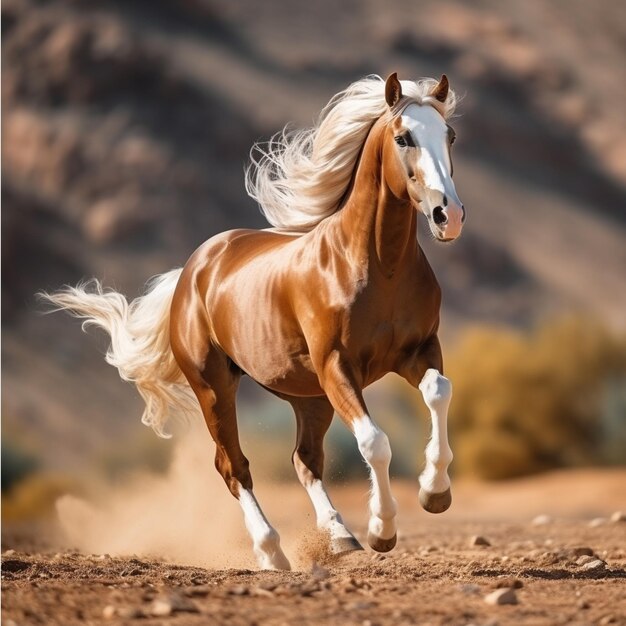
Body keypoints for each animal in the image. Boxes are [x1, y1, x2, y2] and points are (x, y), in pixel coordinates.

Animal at [45, 70, 464, 568]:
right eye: (403, 137)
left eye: (449, 135)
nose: (448, 216)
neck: (378, 265)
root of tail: (192, 270)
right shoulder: (337, 366)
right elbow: (374, 442)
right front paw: (383, 530)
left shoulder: (419, 350)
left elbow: (439, 392)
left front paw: (434, 493)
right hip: (216, 386)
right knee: (233, 466)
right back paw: (272, 553)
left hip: (307, 396)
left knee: (304, 460)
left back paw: (340, 535)